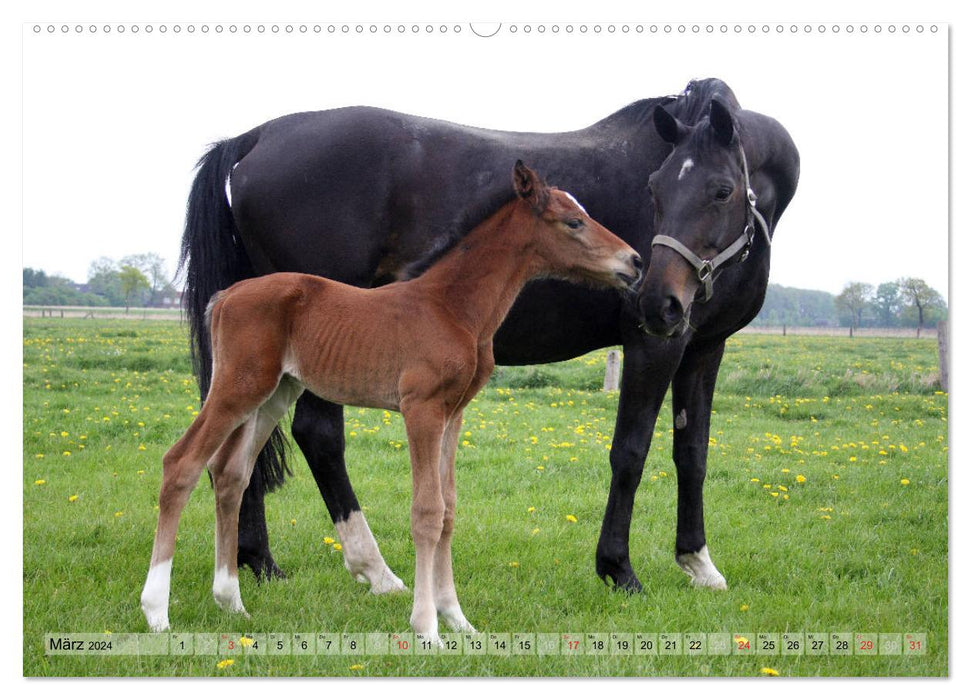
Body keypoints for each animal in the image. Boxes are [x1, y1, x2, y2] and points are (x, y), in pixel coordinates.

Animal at [142, 161, 644, 644]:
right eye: (574, 221)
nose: (635, 261)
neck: (452, 307)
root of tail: (226, 295)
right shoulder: (421, 408)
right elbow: (426, 512)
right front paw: (427, 627)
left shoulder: (454, 413)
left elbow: (449, 509)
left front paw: (457, 619)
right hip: (238, 386)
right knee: (181, 464)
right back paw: (157, 612)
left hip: (275, 393)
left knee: (231, 473)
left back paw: (231, 602)